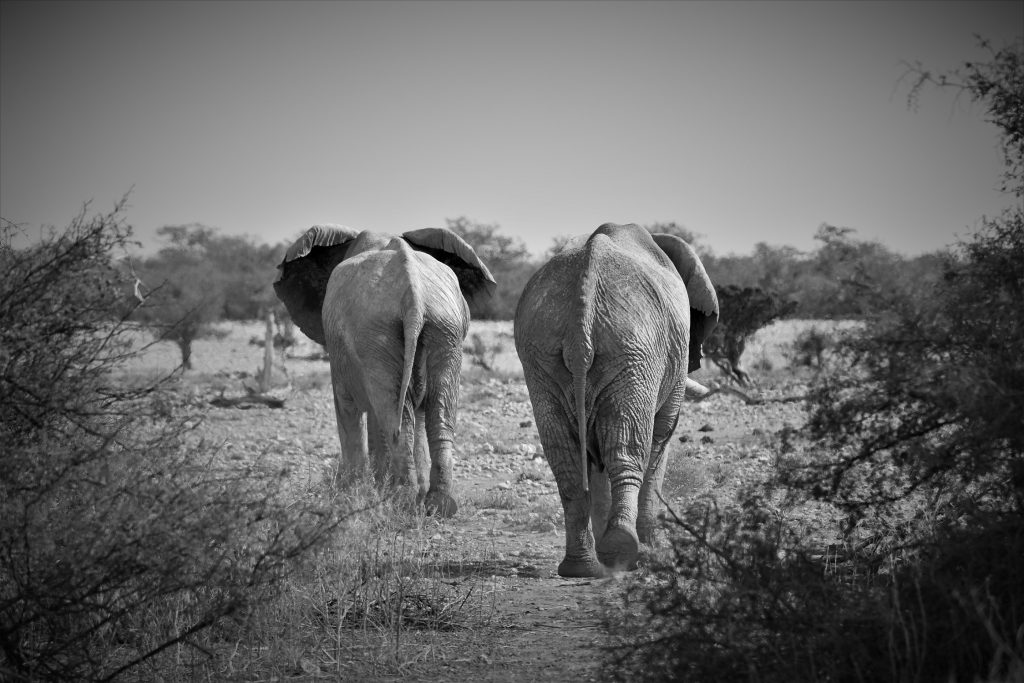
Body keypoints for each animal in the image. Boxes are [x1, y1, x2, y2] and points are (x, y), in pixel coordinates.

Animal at [272, 225, 495, 518]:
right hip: (444, 328)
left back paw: (401, 502)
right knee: (435, 412)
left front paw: (351, 494)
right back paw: (437, 505)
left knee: (393, 416)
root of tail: (414, 296)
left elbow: (348, 407)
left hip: (376, 333)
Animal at [512, 224, 720, 577]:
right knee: (628, 449)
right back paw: (623, 553)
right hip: (635, 352)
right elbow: (661, 438)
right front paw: (653, 551)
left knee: (568, 460)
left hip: (542, 352)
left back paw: (582, 568)